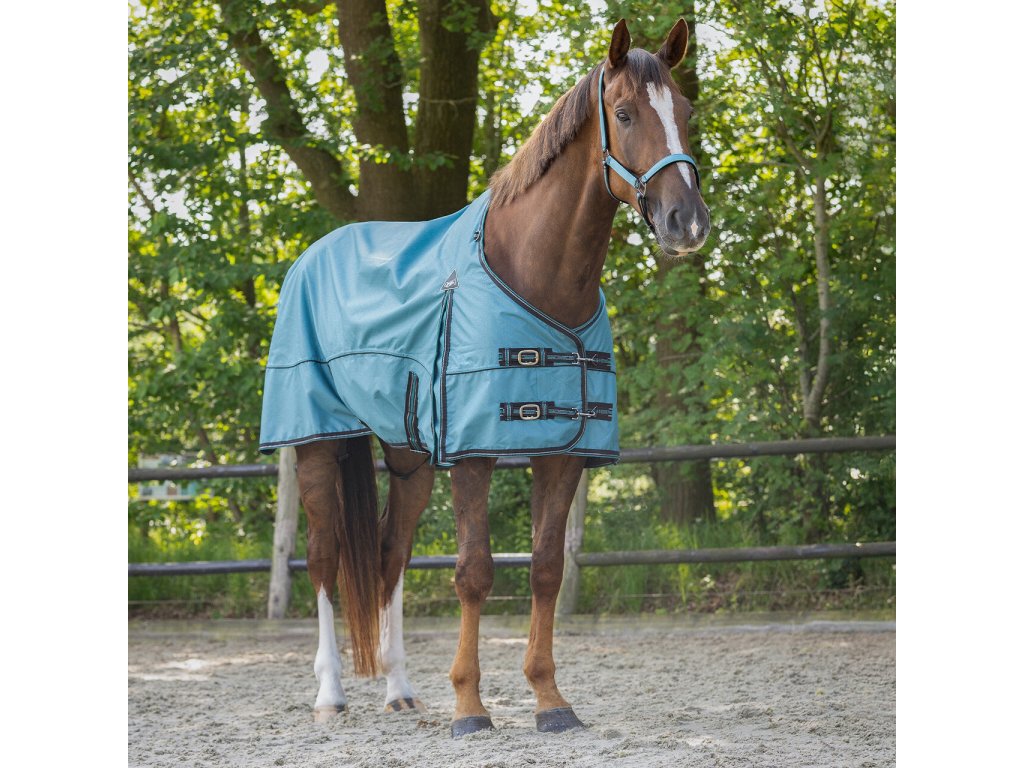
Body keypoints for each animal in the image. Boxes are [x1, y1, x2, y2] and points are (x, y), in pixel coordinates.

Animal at [258, 18, 710, 737]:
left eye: (687, 113)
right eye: (624, 113)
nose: (687, 223)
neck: (540, 275)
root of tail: (312, 256)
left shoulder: (563, 455)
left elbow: (546, 570)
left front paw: (550, 701)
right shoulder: (472, 454)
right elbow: (473, 571)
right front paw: (470, 708)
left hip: (410, 458)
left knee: (389, 557)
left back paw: (400, 689)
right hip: (317, 445)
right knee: (326, 559)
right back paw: (330, 694)